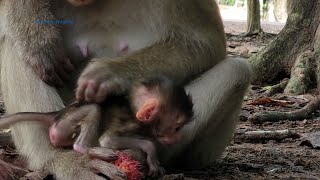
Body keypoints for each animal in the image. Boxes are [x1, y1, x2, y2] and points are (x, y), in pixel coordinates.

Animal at [0, 76, 192, 177]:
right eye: (177, 127)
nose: (179, 137)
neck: (132, 109)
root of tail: (58, 113)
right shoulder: (127, 123)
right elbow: (108, 140)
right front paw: (151, 153)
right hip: (63, 126)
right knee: (94, 109)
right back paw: (87, 149)